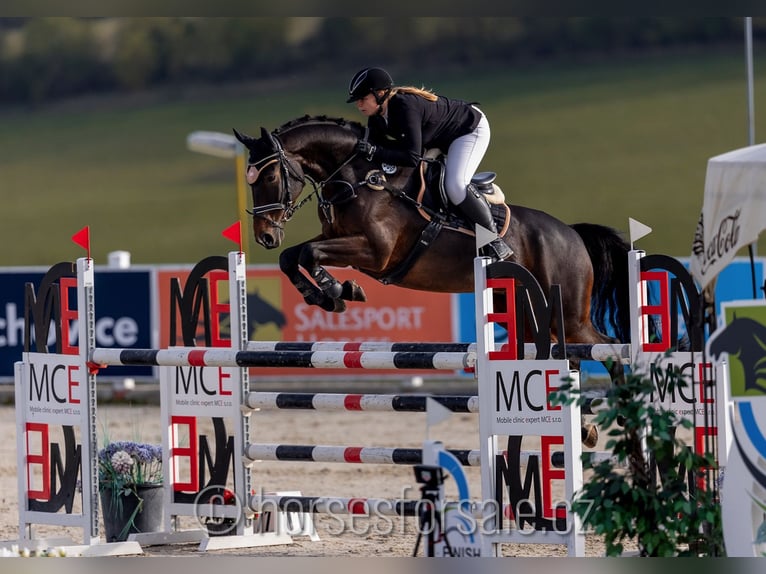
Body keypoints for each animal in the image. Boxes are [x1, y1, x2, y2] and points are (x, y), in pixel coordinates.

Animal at [234, 114, 636, 352]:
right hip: (525, 307)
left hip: (569, 314)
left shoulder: (375, 252)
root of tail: (572, 234)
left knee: (608, 346)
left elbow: (308, 254)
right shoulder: (341, 241)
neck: (358, 179)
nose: (265, 236)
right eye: (249, 180)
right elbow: (292, 256)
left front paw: (337, 290)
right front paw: (328, 295)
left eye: (270, 176)